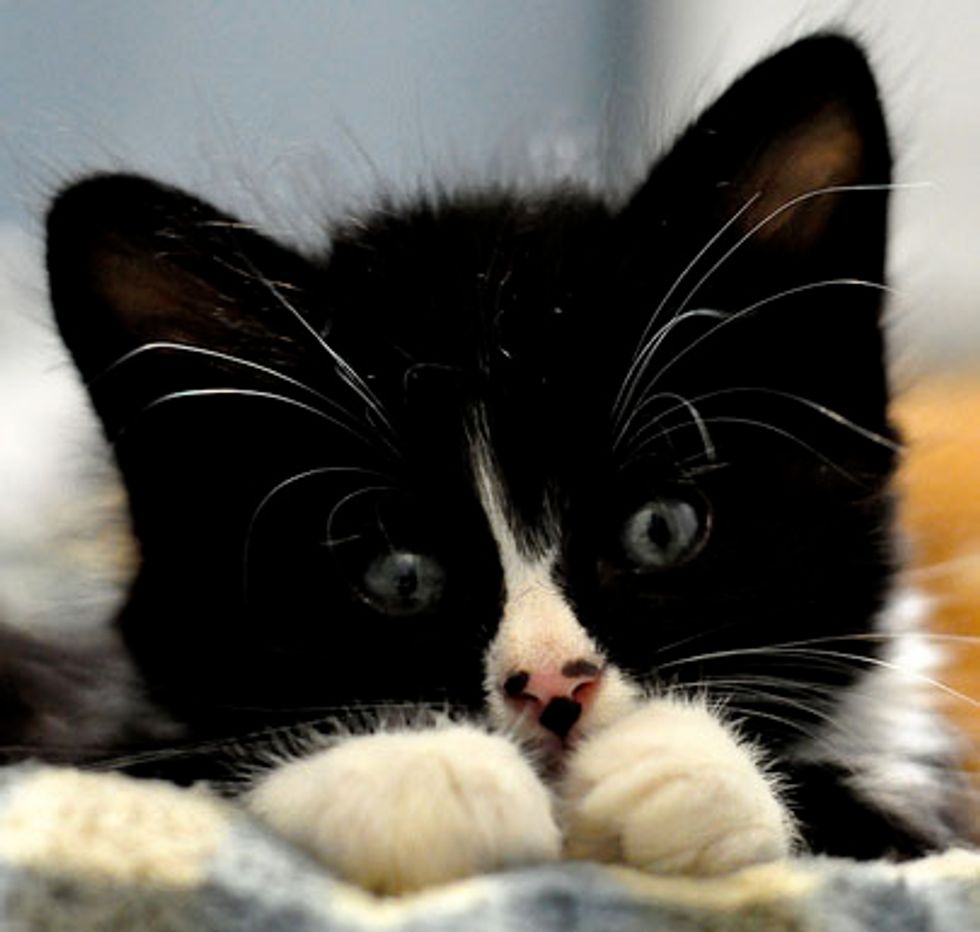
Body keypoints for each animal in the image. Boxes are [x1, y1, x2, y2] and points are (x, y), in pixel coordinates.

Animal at [19, 36, 976, 892]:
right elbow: (165, 770)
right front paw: (418, 778)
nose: (553, 684)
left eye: (661, 528)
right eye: (400, 575)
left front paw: (690, 772)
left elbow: (921, 821)